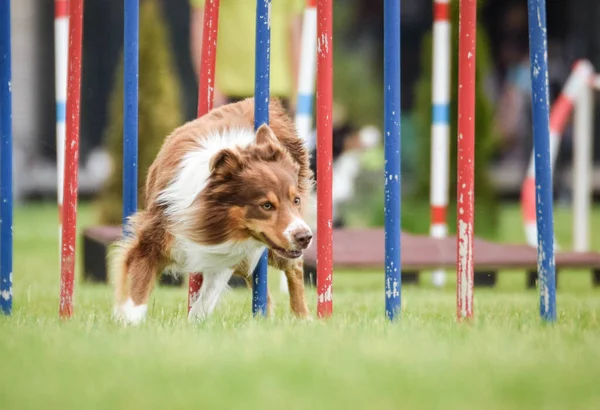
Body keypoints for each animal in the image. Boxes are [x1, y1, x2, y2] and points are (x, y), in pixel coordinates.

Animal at [111, 98, 314, 324]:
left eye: (295, 200)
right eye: (266, 205)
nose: (305, 237)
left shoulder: (225, 253)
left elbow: (207, 298)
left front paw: (193, 322)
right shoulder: (154, 236)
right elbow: (136, 293)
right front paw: (129, 323)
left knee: (294, 268)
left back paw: (303, 318)